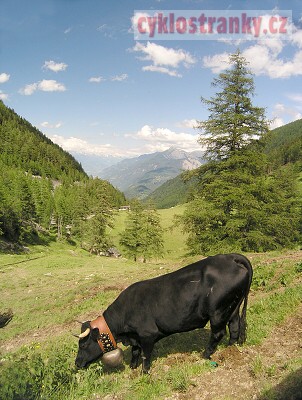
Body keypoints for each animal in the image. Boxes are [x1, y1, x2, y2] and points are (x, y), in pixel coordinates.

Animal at [75, 255, 252, 374]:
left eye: (83, 345)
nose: (77, 363)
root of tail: (231, 257)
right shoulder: (136, 336)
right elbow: (135, 351)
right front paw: (133, 367)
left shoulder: (147, 334)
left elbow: (145, 355)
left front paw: (144, 372)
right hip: (232, 308)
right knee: (234, 326)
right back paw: (230, 348)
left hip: (218, 312)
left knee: (218, 333)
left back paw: (205, 354)